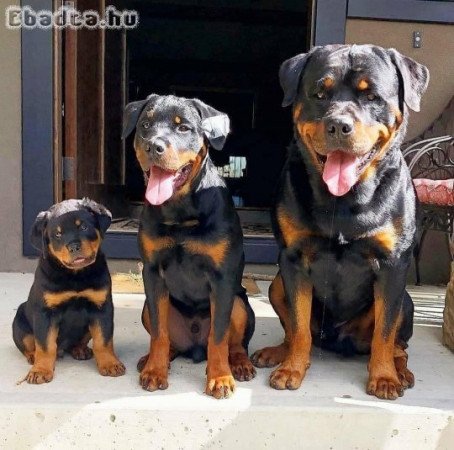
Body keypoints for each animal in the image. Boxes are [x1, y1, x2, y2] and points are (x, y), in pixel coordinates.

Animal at [12, 200, 126, 384]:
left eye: (84, 227)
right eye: (58, 234)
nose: (73, 246)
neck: (75, 276)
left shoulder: (102, 308)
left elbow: (103, 340)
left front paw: (110, 364)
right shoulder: (45, 312)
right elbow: (45, 345)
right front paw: (40, 370)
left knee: (79, 342)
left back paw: (81, 350)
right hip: (20, 322)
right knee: (29, 344)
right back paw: (33, 357)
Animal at [122, 94, 258, 398]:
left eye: (183, 127)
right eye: (145, 125)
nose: (153, 146)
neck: (180, 212)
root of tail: (194, 347)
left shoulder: (222, 278)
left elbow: (218, 336)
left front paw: (220, 378)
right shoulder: (152, 273)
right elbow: (159, 333)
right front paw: (155, 370)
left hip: (240, 303)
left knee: (234, 343)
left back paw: (239, 364)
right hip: (147, 306)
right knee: (166, 337)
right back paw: (154, 359)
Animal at [252, 44, 430, 400]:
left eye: (372, 96)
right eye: (320, 94)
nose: (337, 125)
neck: (344, 201)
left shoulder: (393, 265)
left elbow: (384, 333)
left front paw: (384, 378)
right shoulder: (293, 260)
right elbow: (298, 324)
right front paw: (292, 368)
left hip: (406, 301)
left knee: (397, 344)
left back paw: (401, 372)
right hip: (277, 283)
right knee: (294, 329)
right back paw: (278, 352)